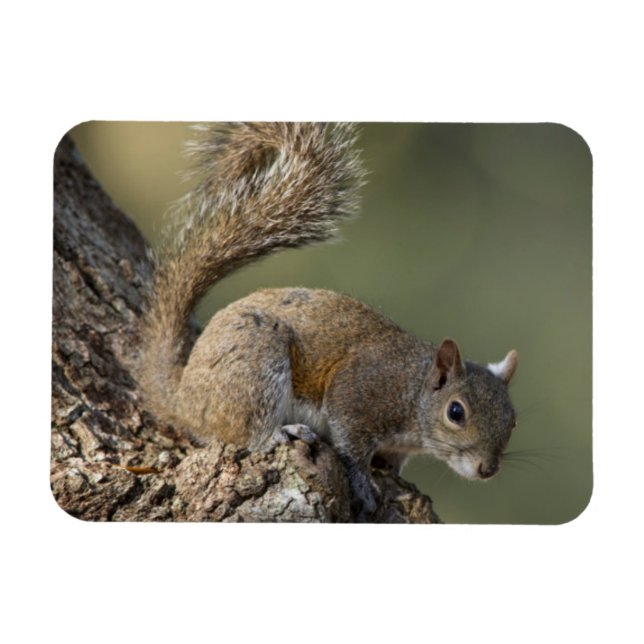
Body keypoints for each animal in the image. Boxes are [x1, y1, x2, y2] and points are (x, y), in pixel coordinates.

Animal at [138, 122, 518, 519]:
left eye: (513, 419)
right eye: (456, 412)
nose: (488, 468)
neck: (413, 391)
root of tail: (182, 397)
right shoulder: (359, 393)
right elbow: (351, 445)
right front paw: (363, 483)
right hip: (255, 366)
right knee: (243, 431)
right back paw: (280, 433)